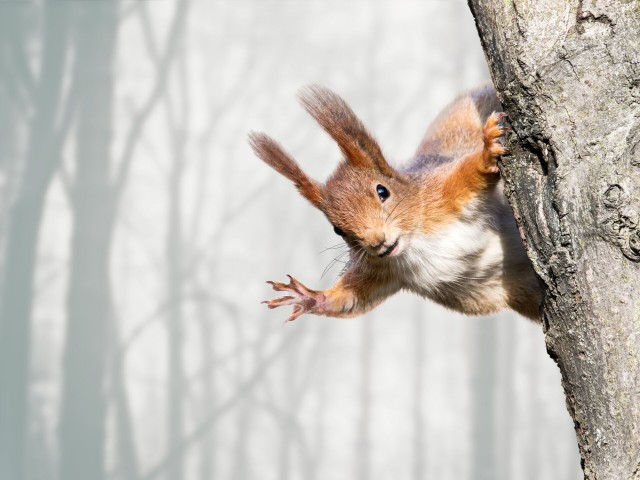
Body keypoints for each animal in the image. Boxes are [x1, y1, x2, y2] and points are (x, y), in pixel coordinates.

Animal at [249, 84, 542, 322]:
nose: (376, 242)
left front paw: (487, 151)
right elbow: (352, 298)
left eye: (382, 191)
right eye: (337, 229)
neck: (414, 243)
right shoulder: (381, 270)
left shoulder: (441, 194)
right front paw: (309, 297)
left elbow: (468, 173)